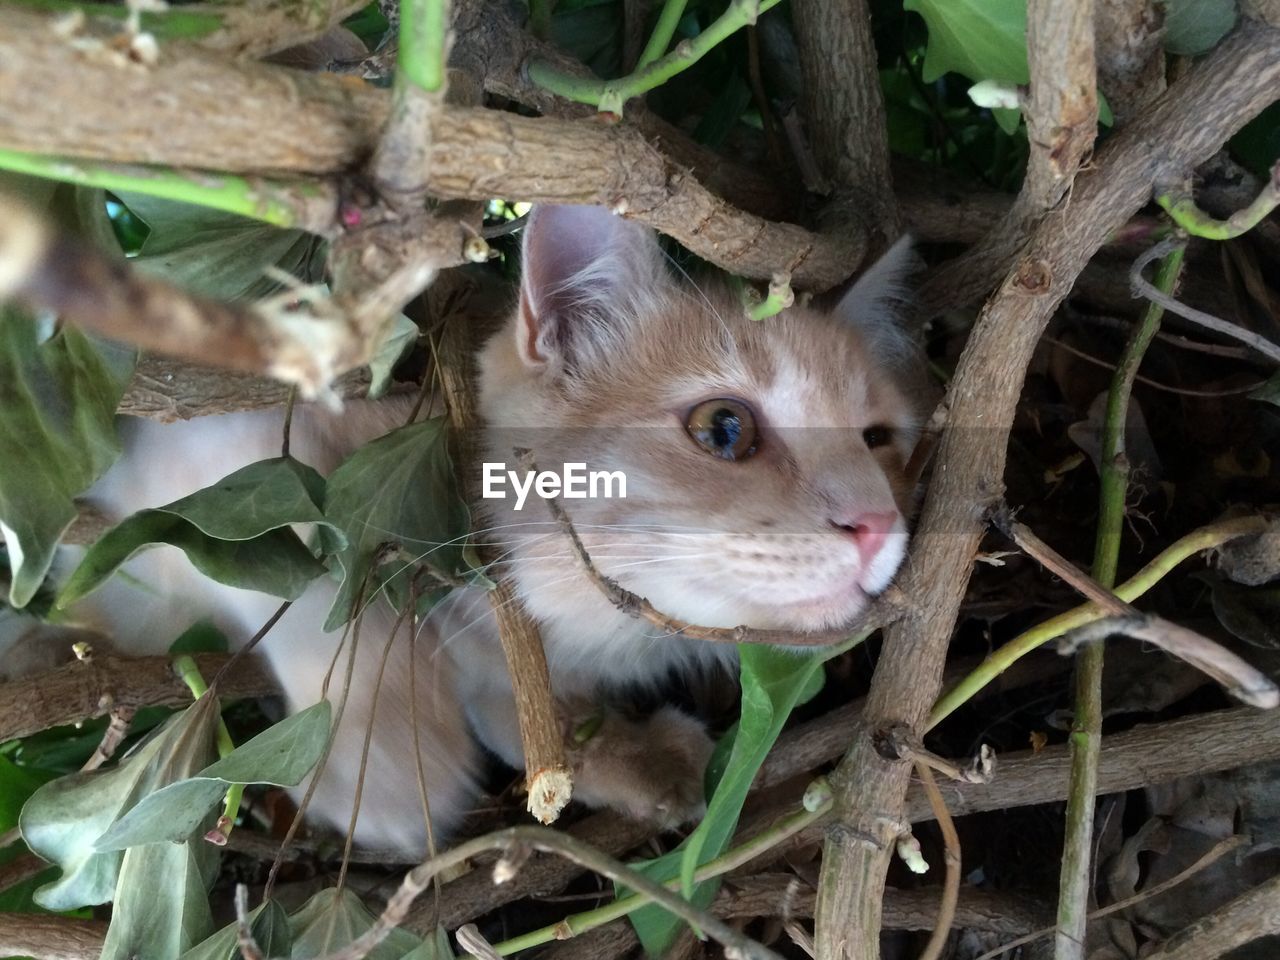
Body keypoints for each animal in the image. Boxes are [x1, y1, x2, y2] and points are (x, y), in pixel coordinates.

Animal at [5, 204, 926, 855]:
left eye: (880, 440)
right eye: (726, 429)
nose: (875, 523)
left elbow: (524, 718)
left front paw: (621, 753)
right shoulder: (226, 438)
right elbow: (319, 588)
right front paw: (377, 760)